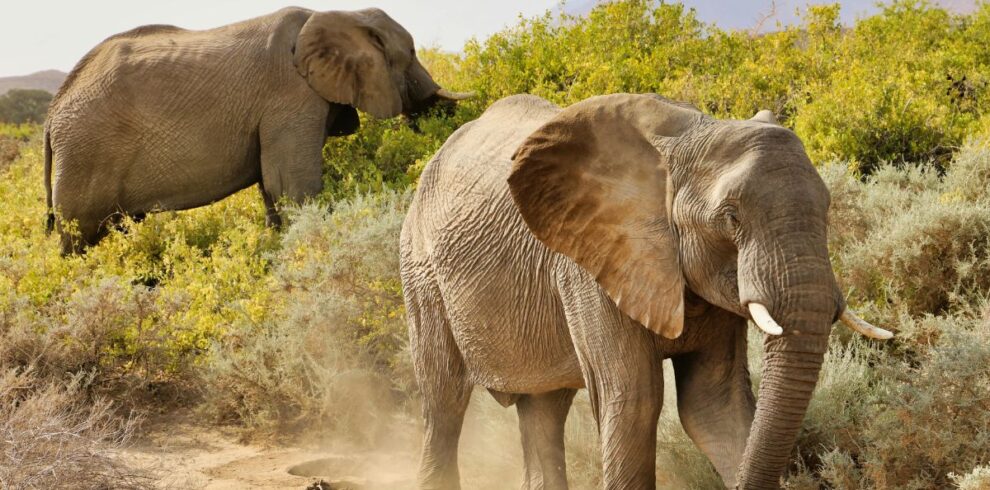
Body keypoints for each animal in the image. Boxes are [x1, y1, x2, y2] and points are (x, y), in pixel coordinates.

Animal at [44, 7, 468, 254]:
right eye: (411, 53)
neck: (340, 14)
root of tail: (52, 114)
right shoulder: (290, 97)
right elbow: (292, 185)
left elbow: (272, 186)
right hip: (86, 154)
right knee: (79, 236)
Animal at [399, 94, 892, 489]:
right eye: (732, 217)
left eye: (827, 206)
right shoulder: (587, 267)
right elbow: (634, 401)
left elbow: (715, 405)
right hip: (420, 270)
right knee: (443, 401)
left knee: (544, 408)